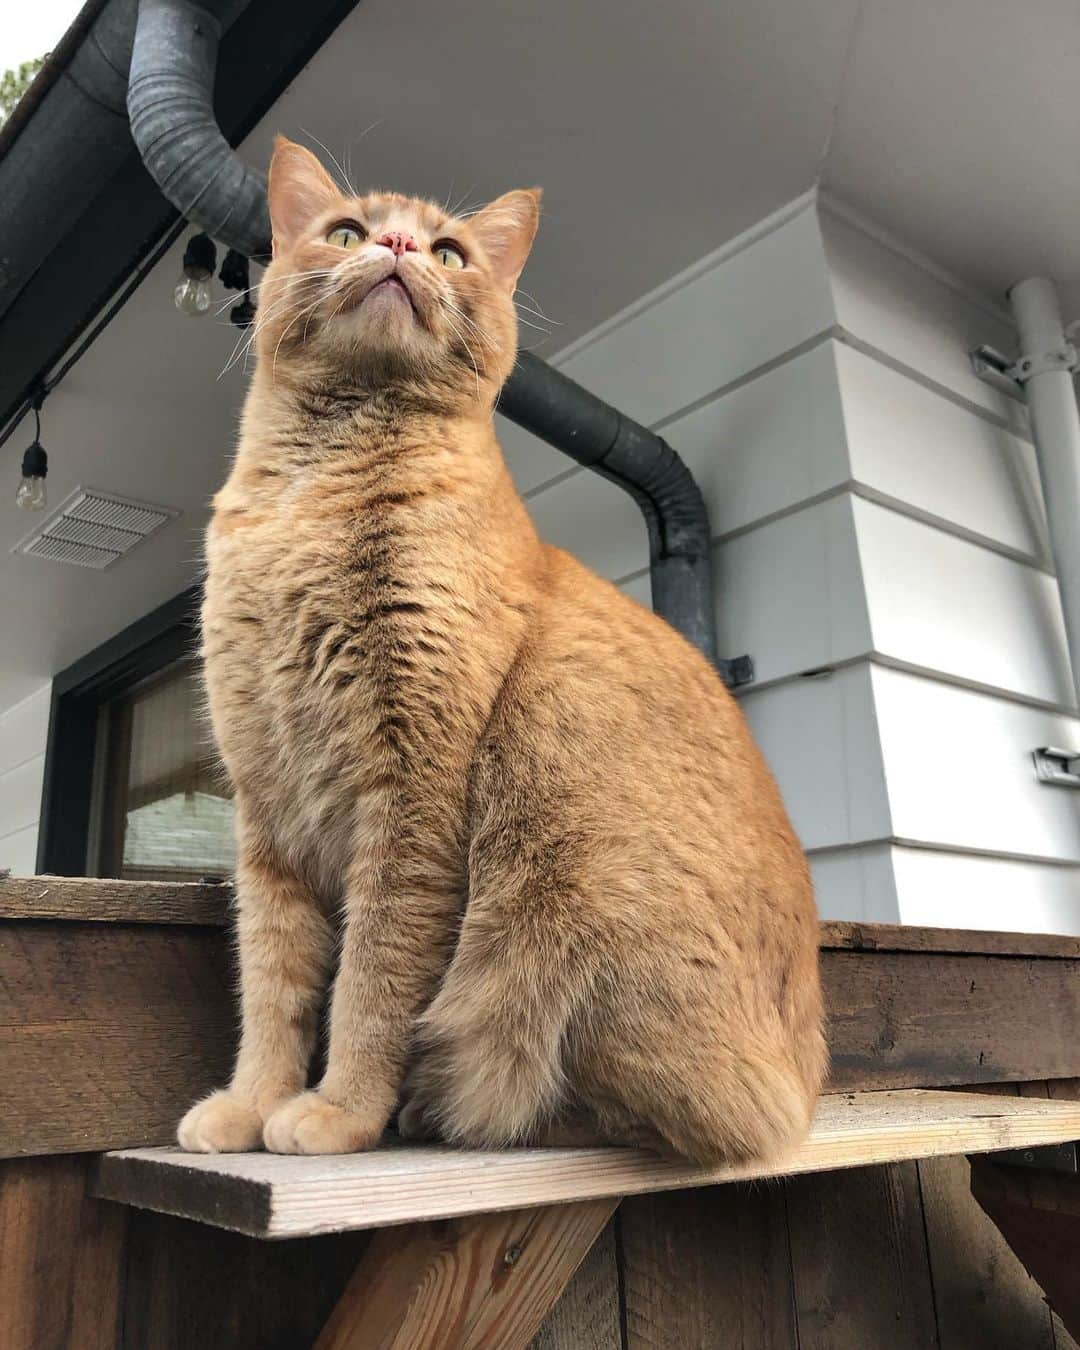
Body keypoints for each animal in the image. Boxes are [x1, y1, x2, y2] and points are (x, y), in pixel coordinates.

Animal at [176, 139, 820, 1171]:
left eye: (448, 252)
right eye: (347, 232)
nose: (400, 245)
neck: (309, 505)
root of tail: (815, 1078)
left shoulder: (411, 794)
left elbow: (372, 980)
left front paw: (338, 1111)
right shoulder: (267, 814)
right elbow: (273, 988)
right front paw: (250, 1104)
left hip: (569, 890)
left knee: (681, 1120)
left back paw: (439, 1110)